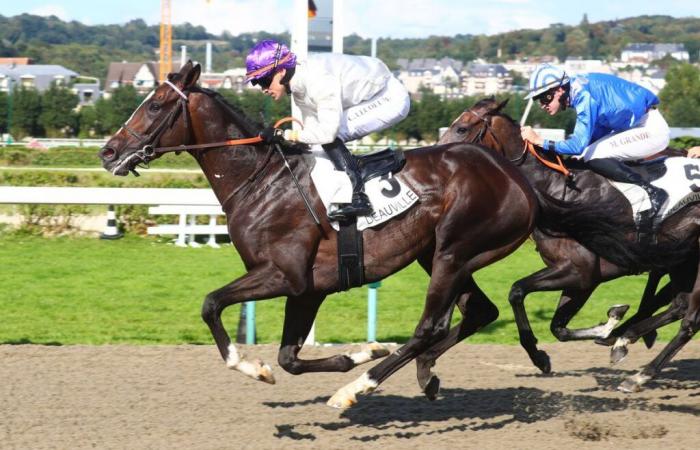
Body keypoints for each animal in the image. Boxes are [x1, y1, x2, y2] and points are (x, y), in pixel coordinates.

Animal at [98, 61, 536, 406]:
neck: (262, 181)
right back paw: (423, 374)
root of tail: (515, 178)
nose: (108, 152)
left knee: (430, 327)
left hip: (453, 253)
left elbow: (211, 304)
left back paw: (357, 389)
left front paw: (249, 366)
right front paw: (360, 352)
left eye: (154, 105)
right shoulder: (307, 288)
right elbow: (288, 358)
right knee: (477, 312)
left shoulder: (283, 274)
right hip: (443, 256)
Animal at [438, 97, 700, 390]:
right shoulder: (580, 279)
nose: (438, 155)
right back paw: (629, 340)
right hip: (683, 262)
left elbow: (517, 291)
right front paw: (609, 325)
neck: (558, 191)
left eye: (461, 128)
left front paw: (541, 355)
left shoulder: (582, 271)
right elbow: (558, 328)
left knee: (689, 319)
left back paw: (639, 368)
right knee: (679, 306)